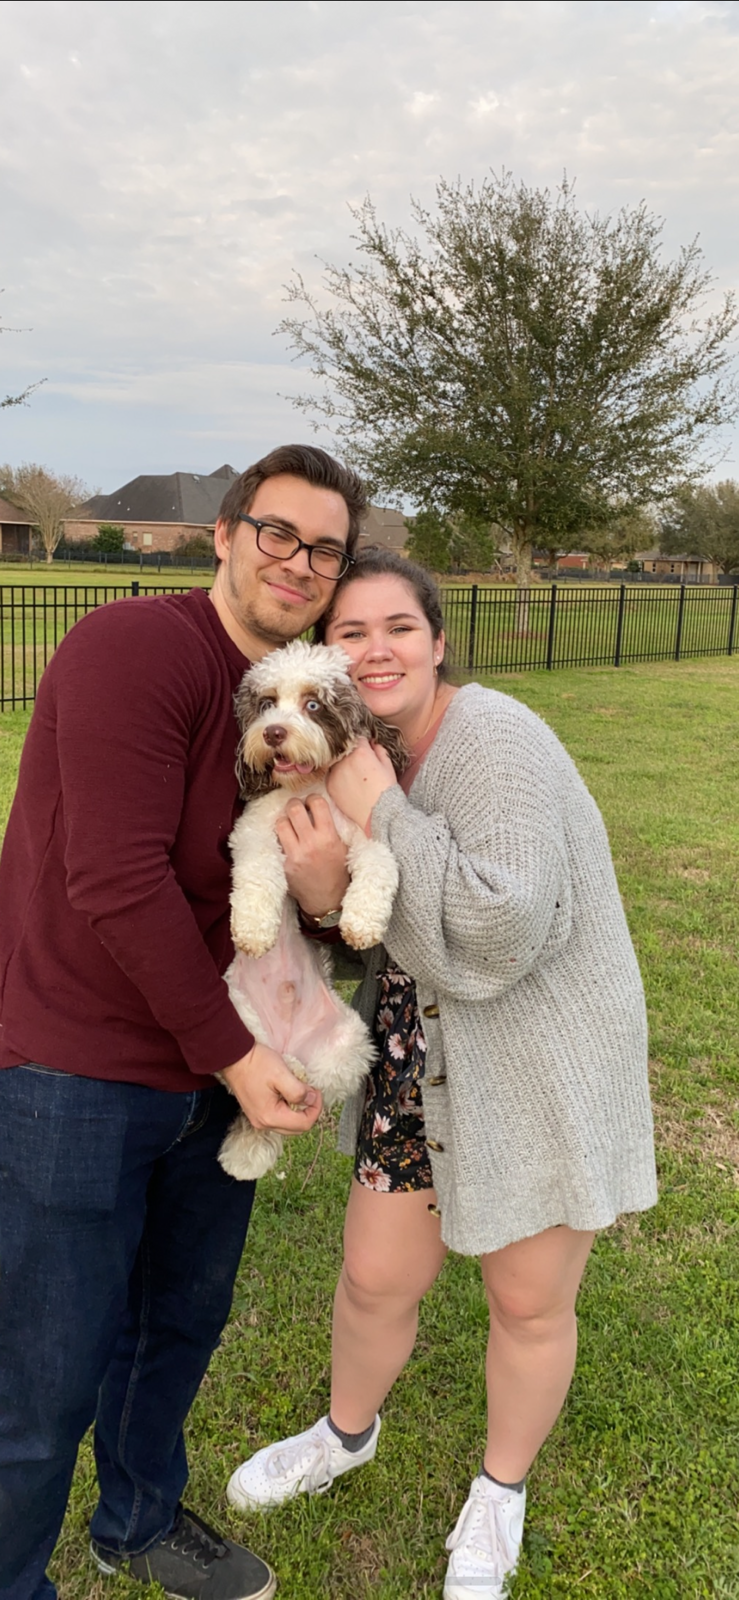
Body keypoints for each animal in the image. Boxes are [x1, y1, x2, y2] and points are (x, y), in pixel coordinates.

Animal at [215, 640, 406, 1190]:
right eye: (266, 704)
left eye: (314, 704)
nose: (273, 732)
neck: (309, 789)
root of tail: (286, 1040)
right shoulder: (254, 832)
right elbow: (258, 874)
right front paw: (253, 930)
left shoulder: (369, 836)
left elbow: (380, 867)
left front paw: (361, 923)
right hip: (235, 1013)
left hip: (350, 1045)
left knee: (314, 1081)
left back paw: (297, 1082)